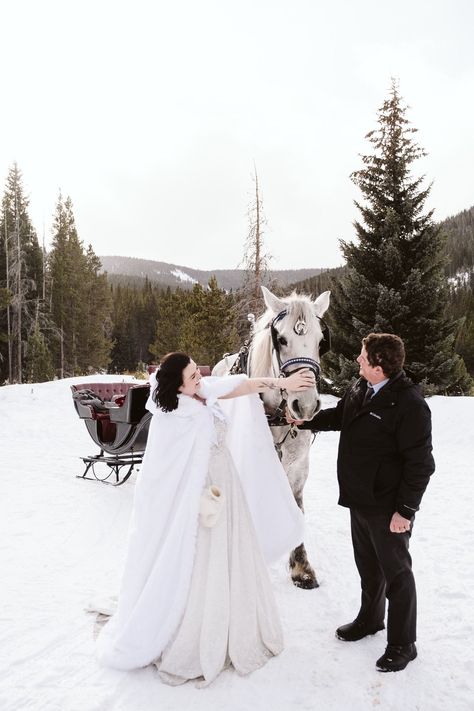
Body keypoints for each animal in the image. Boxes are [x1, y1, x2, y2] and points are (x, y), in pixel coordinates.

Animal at [213, 284, 332, 588]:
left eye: (321, 341)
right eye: (281, 339)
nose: (306, 405)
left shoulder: (299, 466)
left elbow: (297, 507)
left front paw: (301, 567)